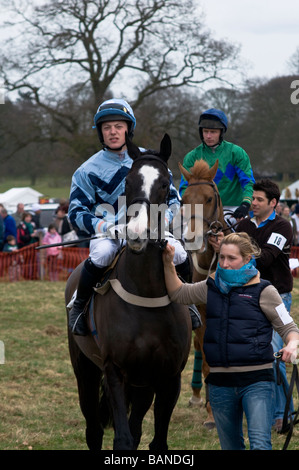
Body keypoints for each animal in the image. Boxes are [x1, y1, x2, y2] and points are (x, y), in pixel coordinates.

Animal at [65, 134, 192, 450]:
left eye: (164, 183)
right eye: (128, 182)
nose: (135, 233)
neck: (146, 293)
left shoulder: (169, 376)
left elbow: (154, 441)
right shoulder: (114, 372)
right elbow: (121, 439)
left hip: (143, 382)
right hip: (85, 370)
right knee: (94, 430)